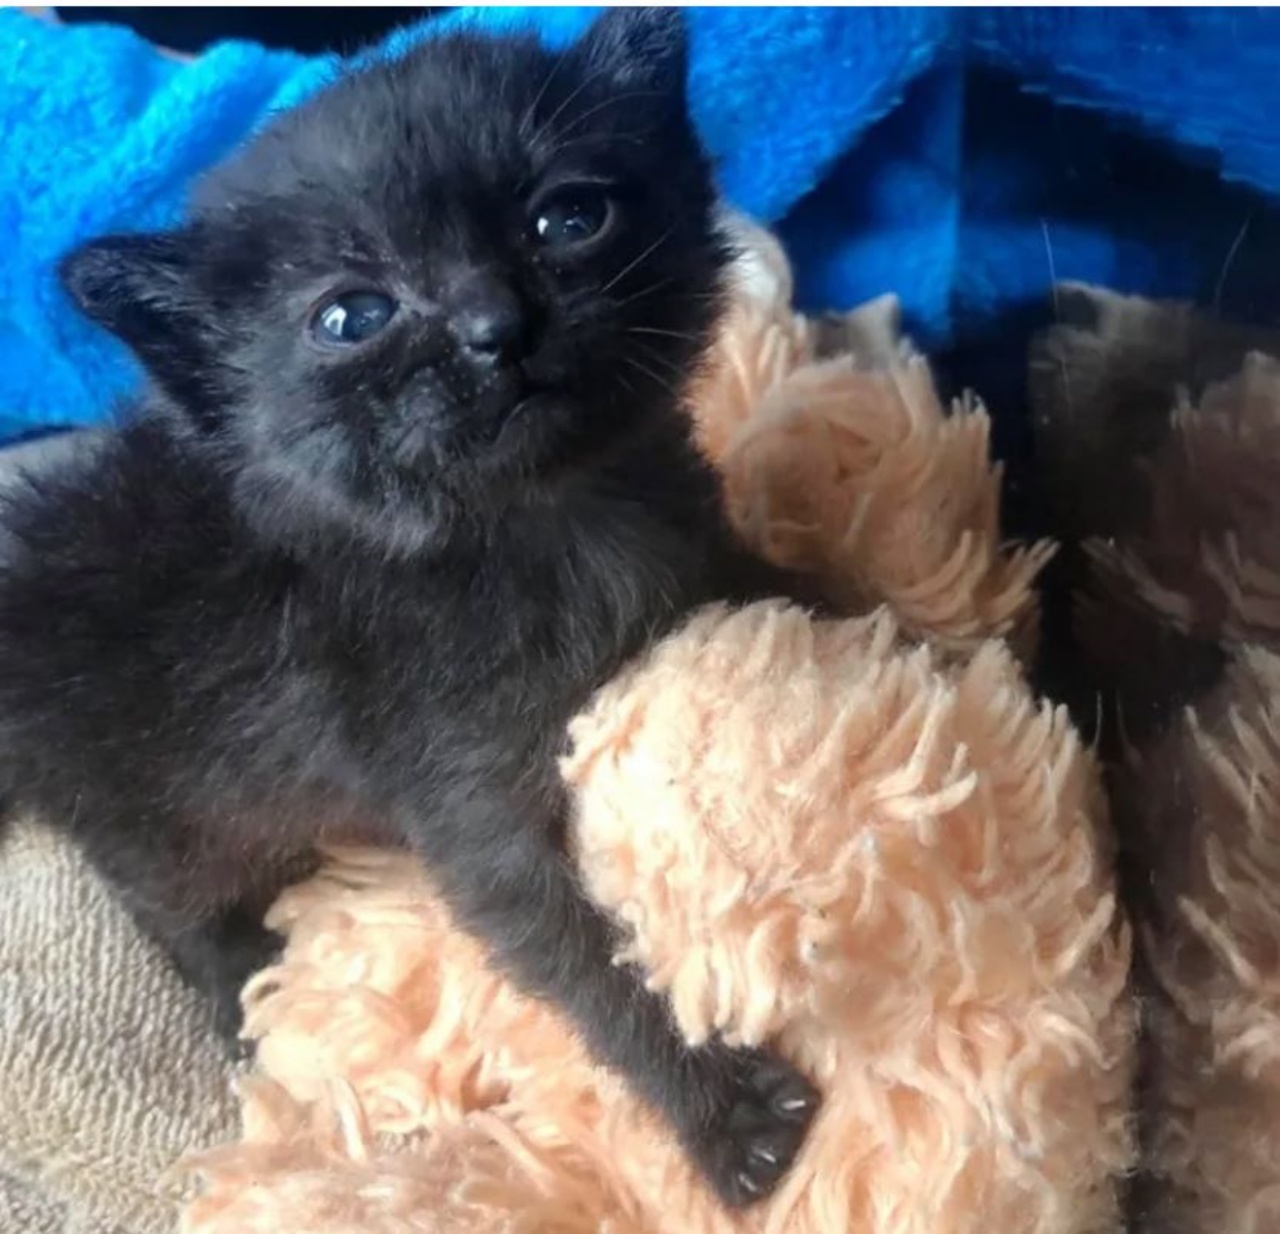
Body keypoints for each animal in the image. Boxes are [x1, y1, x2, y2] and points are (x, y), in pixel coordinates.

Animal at [0, 7, 819, 1203]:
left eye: (568, 216)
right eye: (353, 315)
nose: (493, 324)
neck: (545, 522)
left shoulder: (695, 557)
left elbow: (794, 587)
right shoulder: (460, 788)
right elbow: (577, 948)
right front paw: (724, 1113)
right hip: (156, 808)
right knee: (169, 903)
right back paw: (247, 985)